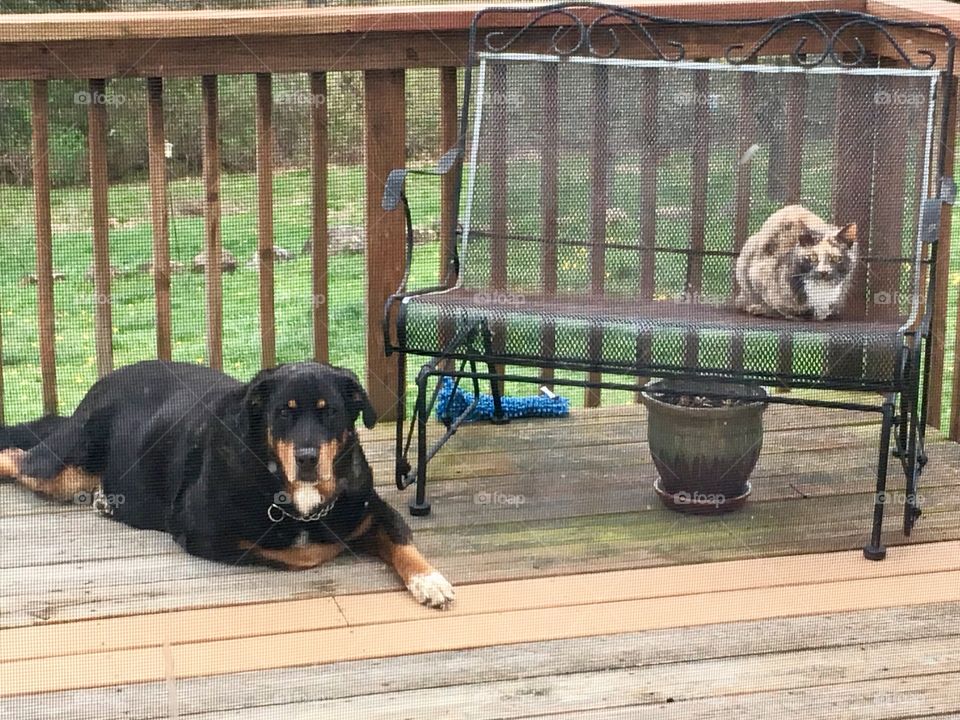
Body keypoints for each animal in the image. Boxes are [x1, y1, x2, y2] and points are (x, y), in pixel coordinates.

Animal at [0, 360, 456, 608]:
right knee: (17, 457)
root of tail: (106, 379)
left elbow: (399, 537)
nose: (308, 458)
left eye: (330, 412)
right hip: (58, 464)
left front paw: (429, 579)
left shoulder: (371, 507)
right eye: (284, 412)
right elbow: (303, 551)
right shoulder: (207, 535)